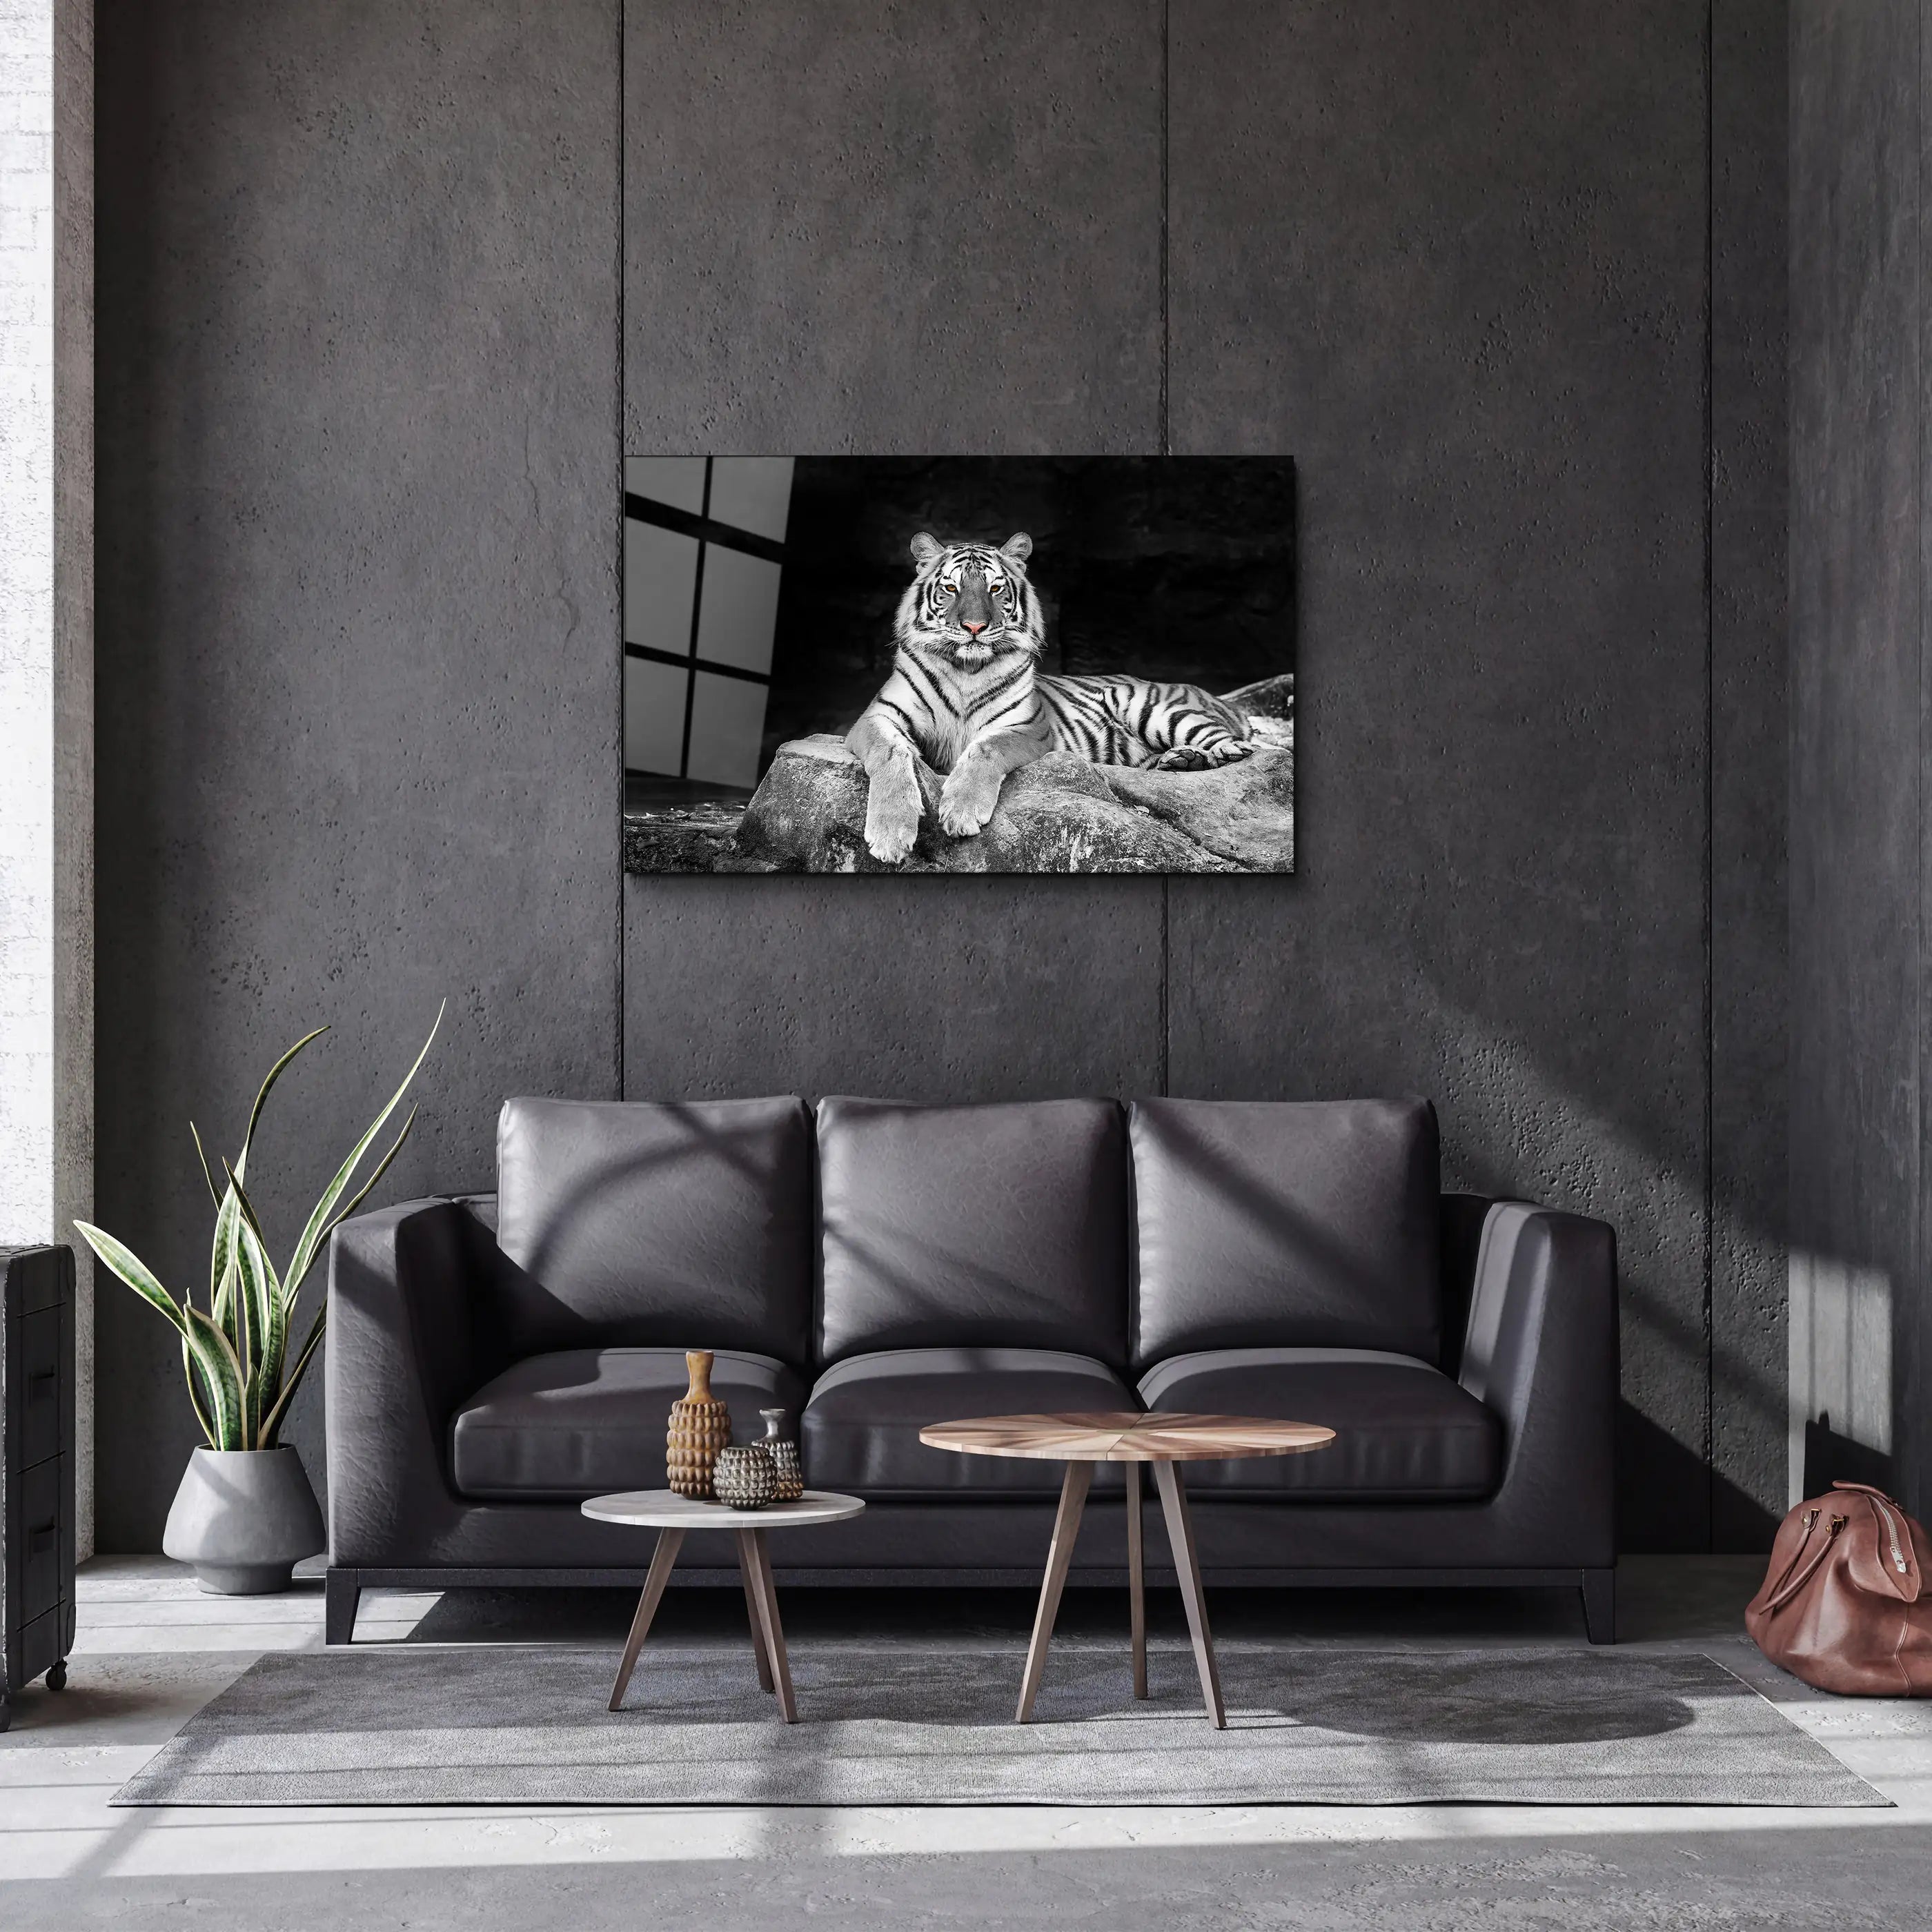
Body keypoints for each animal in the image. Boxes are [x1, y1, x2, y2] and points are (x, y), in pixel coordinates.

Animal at [847, 530, 1258, 864]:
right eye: (951, 588)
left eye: (995, 589)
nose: (975, 627)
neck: (966, 669)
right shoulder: (876, 717)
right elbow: (890, 752)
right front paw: (890, 834)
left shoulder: (1027, 726)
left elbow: (986, 749)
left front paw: (961, 811)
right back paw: (1181, 761)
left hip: (1148, 705)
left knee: (1234, 743)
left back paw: (1211, 754)